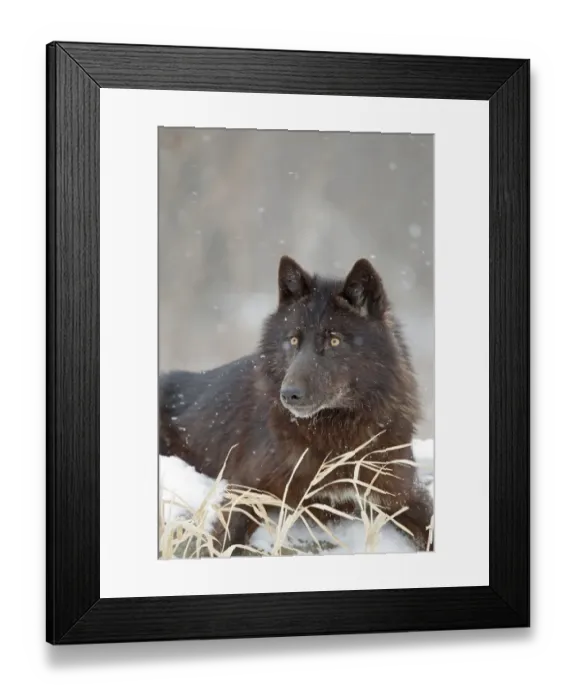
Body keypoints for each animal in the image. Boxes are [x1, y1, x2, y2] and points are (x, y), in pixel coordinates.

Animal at [160, 256, 433, 553]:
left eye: (334, 340)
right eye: (293, 340)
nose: (289, 393)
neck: (334, 435)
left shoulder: (403, 493)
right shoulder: (247, 489)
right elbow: (226, 539)